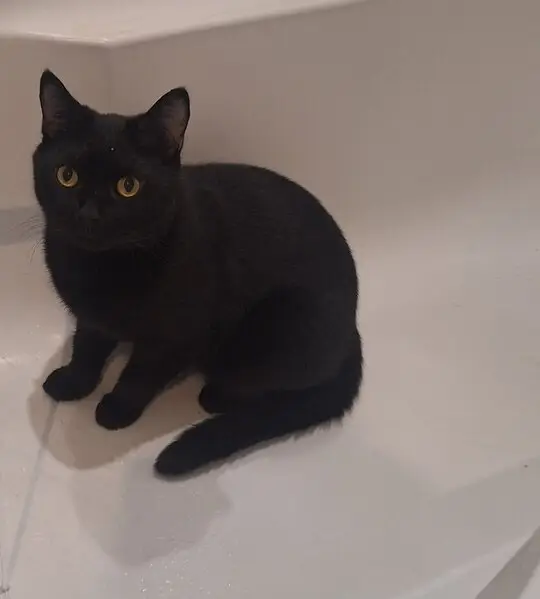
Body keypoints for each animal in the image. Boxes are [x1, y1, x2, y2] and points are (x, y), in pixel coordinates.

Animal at [33, 69, 363, 477]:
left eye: (129, 187)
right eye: (67, 176)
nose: (89, 213)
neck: (99, 266)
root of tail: (353, 329)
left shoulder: (178, 337)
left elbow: (140, 373)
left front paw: (116, 409)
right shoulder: (91, 317)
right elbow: (86, 347)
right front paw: (73, 382)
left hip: (278, 327)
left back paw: (216, 396)